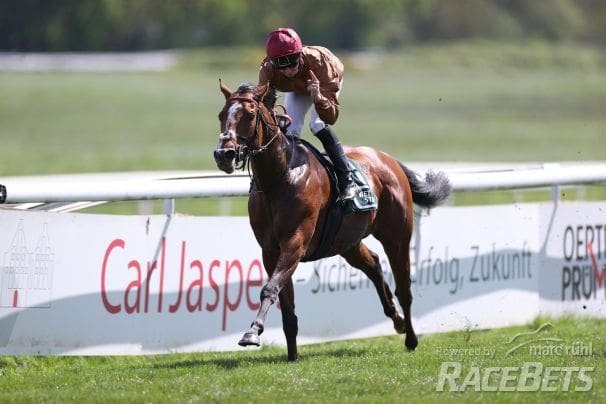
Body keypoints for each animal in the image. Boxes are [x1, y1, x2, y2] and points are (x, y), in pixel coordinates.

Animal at [214, 80, 452, 362]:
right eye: (221, 115)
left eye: (249, 115)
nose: (224, 154)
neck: (278, 178)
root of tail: (387, 159)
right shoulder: (271, 249)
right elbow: (285, 304)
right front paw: (292, 355)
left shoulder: (294, 243)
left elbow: (270, 289)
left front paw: (252, 333)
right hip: (348, 242)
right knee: (373, 264)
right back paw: (397, 320)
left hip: (397, 236)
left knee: (404, 288)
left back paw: (411, 338)